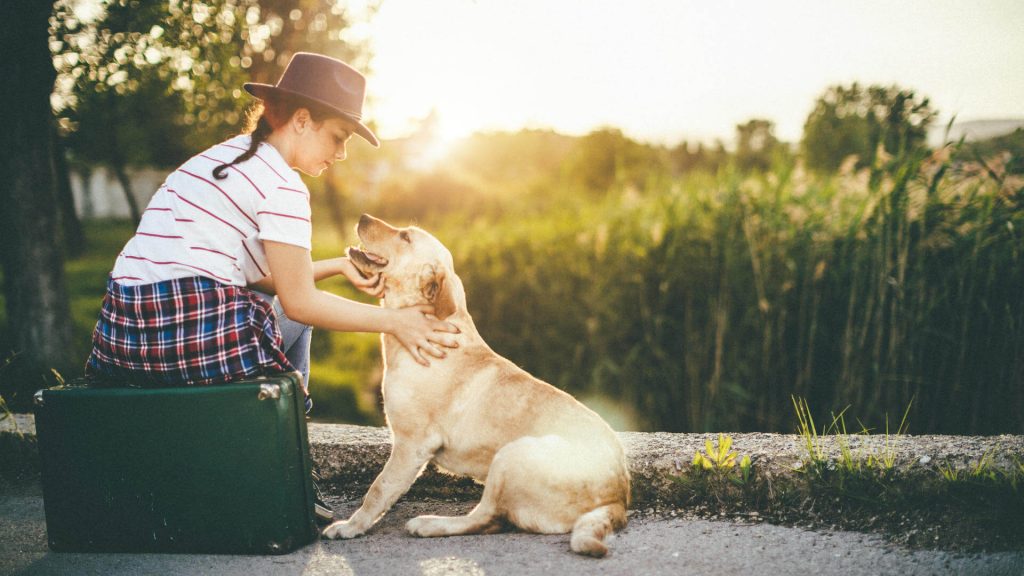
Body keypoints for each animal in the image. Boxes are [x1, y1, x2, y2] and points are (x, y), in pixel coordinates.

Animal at [325, 213, 630, 553]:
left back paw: (430, 524)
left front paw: (352, 526)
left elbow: (377, 490)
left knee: (486, 519)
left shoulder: (411, 444)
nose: (363, 217)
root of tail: (618, 500)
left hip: (511, 455)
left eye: (405, 237)